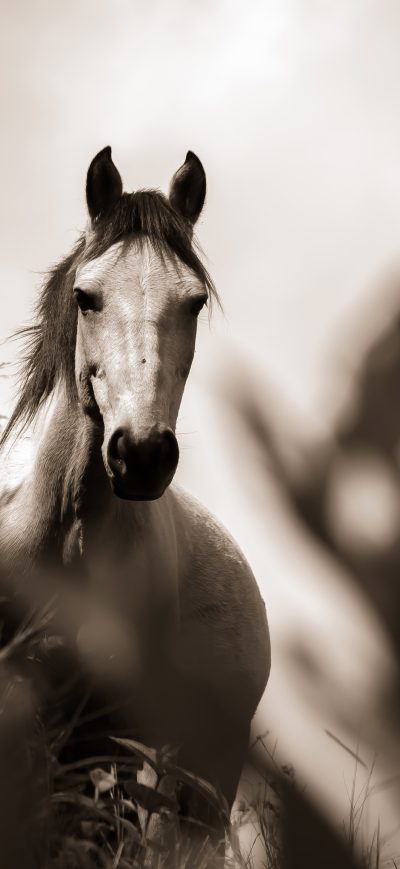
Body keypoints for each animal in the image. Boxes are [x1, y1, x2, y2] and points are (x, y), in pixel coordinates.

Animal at [0, 146, 270, 855]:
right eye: (86, 297)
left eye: (194, 302)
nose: (142, 453)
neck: (66, 539)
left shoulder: (107, 736)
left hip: (200, 781)